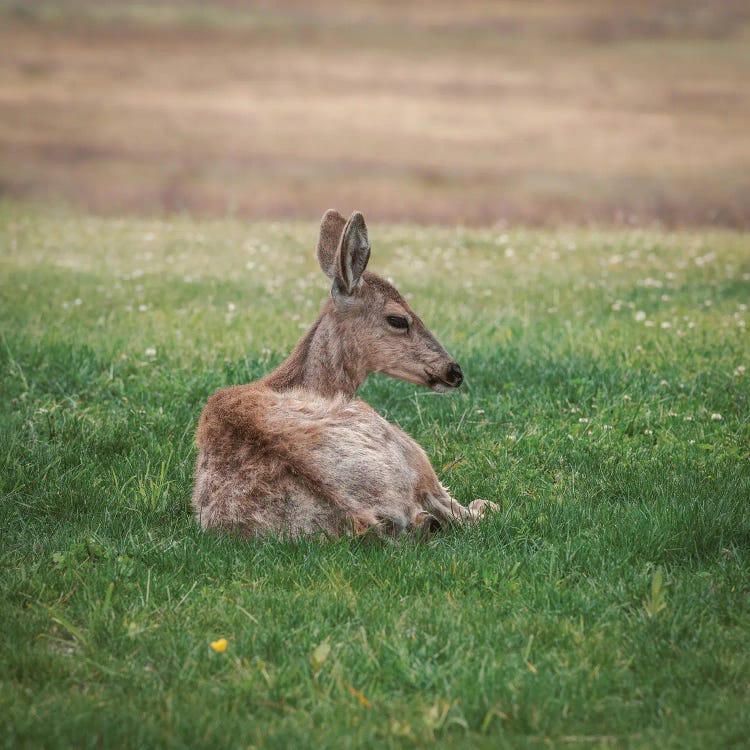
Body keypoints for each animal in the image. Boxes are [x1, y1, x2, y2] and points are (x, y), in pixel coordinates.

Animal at [194, 212, 500, 540]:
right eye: (398, 319)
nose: (454, 371)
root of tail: (358, 516)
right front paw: (485, 503)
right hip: (408, 448)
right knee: (460, 513)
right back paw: (483, 505)